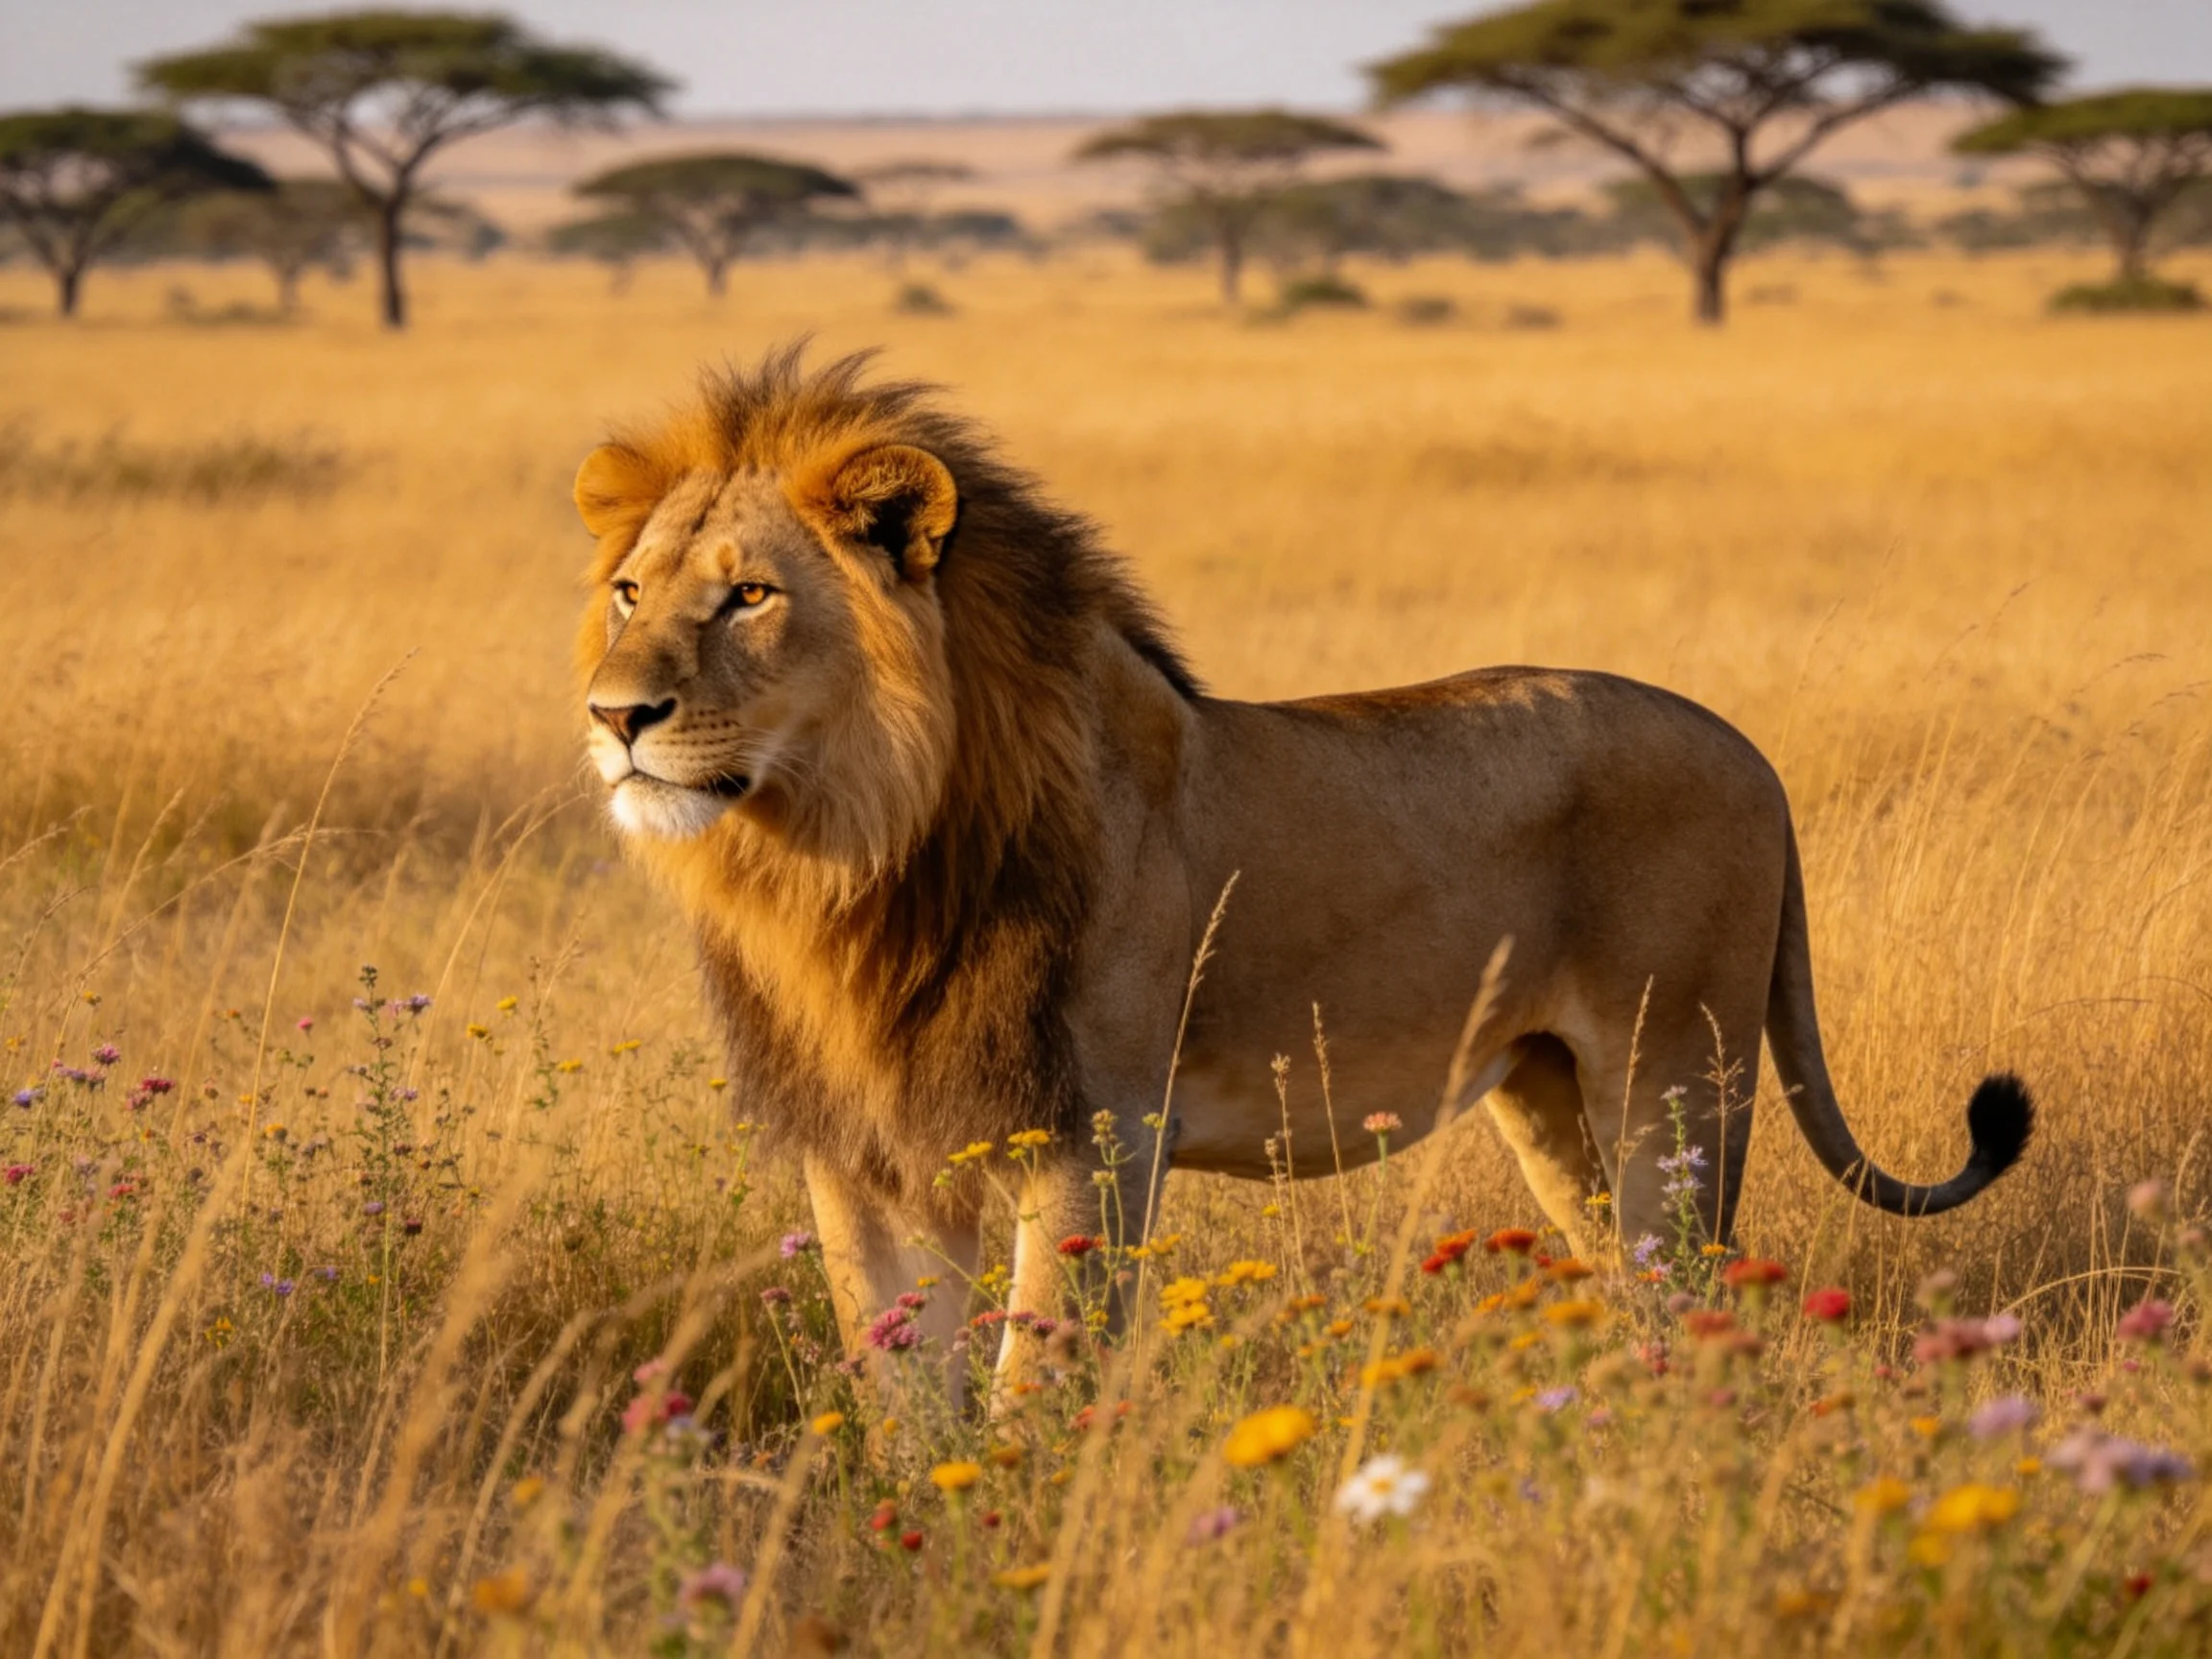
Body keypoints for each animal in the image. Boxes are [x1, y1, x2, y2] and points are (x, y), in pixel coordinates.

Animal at [572, 346, 2031, 1401]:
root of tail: (1752, 752)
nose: (613, 716)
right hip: (1553, 1095)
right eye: (632, 593)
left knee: (1692, 1285)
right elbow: (896, 1394)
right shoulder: (864, 1147)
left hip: (1677, 1074)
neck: (847, 861)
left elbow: (1031, 1382)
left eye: (750, 595)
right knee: (1630, 1282)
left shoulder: (1093, 1132)